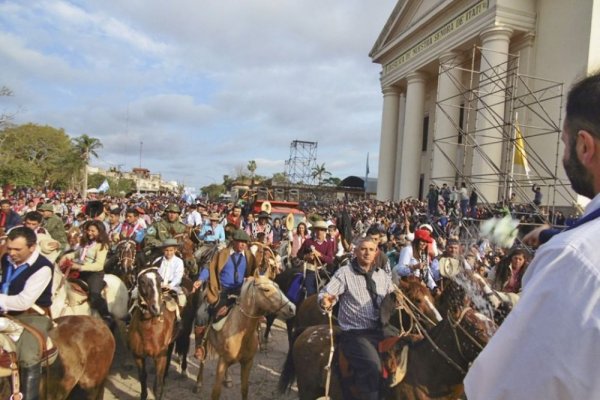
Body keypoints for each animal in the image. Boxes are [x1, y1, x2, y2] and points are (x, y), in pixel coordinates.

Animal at [127, 268, 177, 400]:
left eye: (160, 281)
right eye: (142, 282)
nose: (156, 309)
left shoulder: (160, 357)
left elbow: (157, 387)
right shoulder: (138, 356)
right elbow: (143, 378)